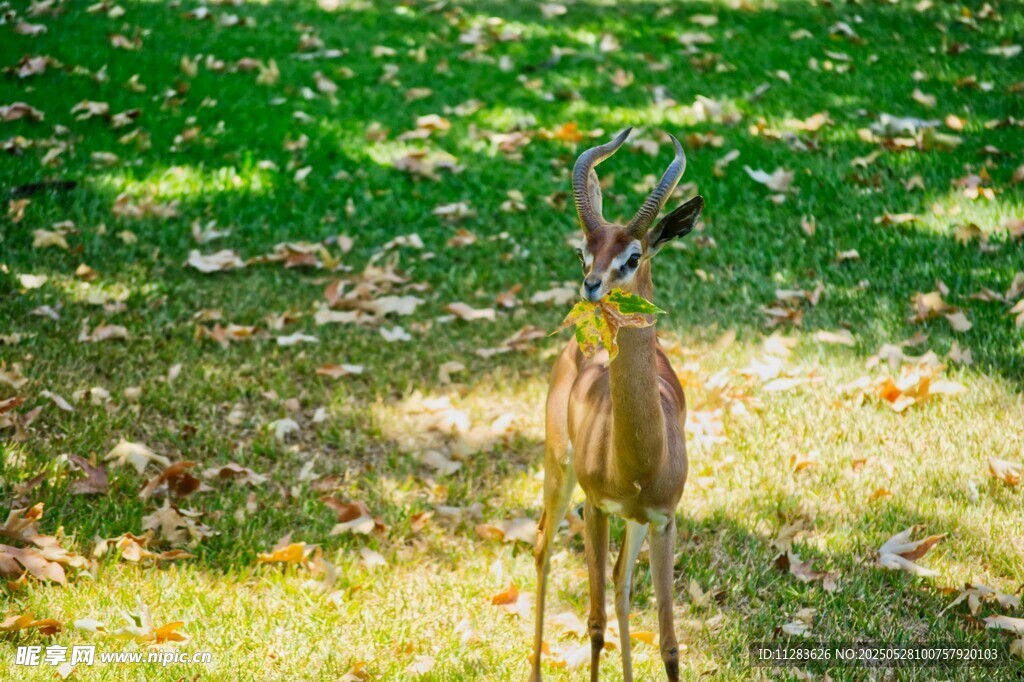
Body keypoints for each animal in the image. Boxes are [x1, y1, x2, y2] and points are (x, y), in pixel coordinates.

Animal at [530, 128, 703, 682]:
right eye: (583, 254)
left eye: (632, 256)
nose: (592, 287)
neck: (639, 461)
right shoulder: (598, 508)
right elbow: (595, 622)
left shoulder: (664, 519)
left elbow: (669, 643)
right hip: (560, 475)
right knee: (542, 548)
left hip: (635, 522)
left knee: (622, 583)